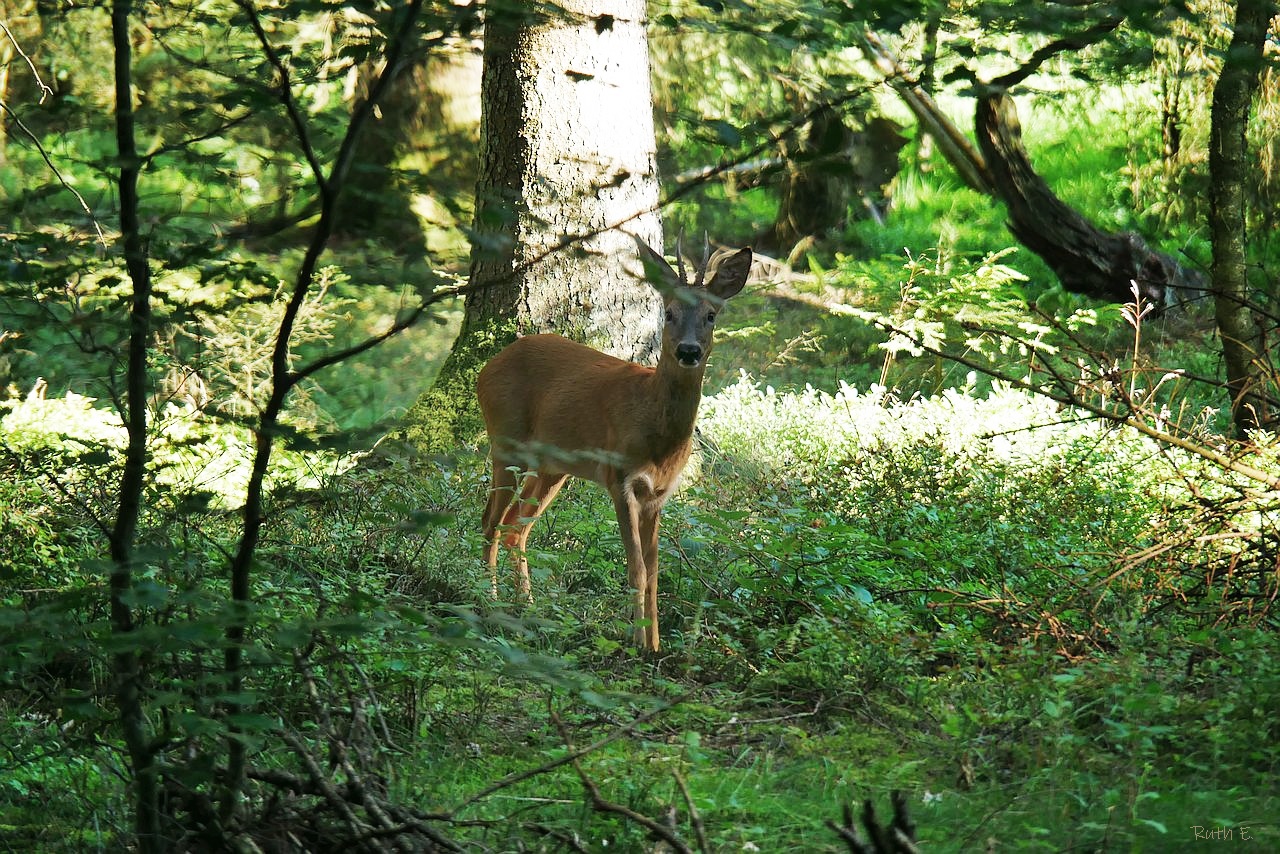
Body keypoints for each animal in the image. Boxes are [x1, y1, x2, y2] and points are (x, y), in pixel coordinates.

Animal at [476, 236, 747, 650]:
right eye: (669, 313)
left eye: (711, 315)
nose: (688, 351)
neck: (657, 433)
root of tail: (488, 367)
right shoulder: (619, 477)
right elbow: (636, 567)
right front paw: (636, 643)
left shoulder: (658, 494)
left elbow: (655, 571)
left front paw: (655, 645)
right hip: (506, 442)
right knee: (490, 522)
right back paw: (487, 600)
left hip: (552, 468)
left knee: (514, 528)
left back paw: (527, 607)